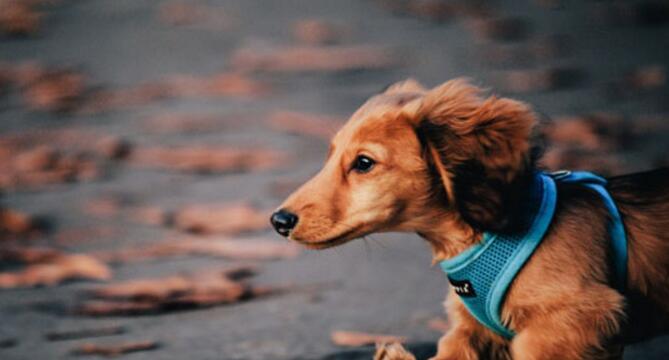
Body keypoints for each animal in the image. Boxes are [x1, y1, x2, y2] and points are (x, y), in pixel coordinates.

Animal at [268, 79, 668, 360]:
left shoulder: (575, 320)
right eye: (330, 156)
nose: (278, 220)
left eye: (364, 163)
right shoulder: (470, 332)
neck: (487, 236)